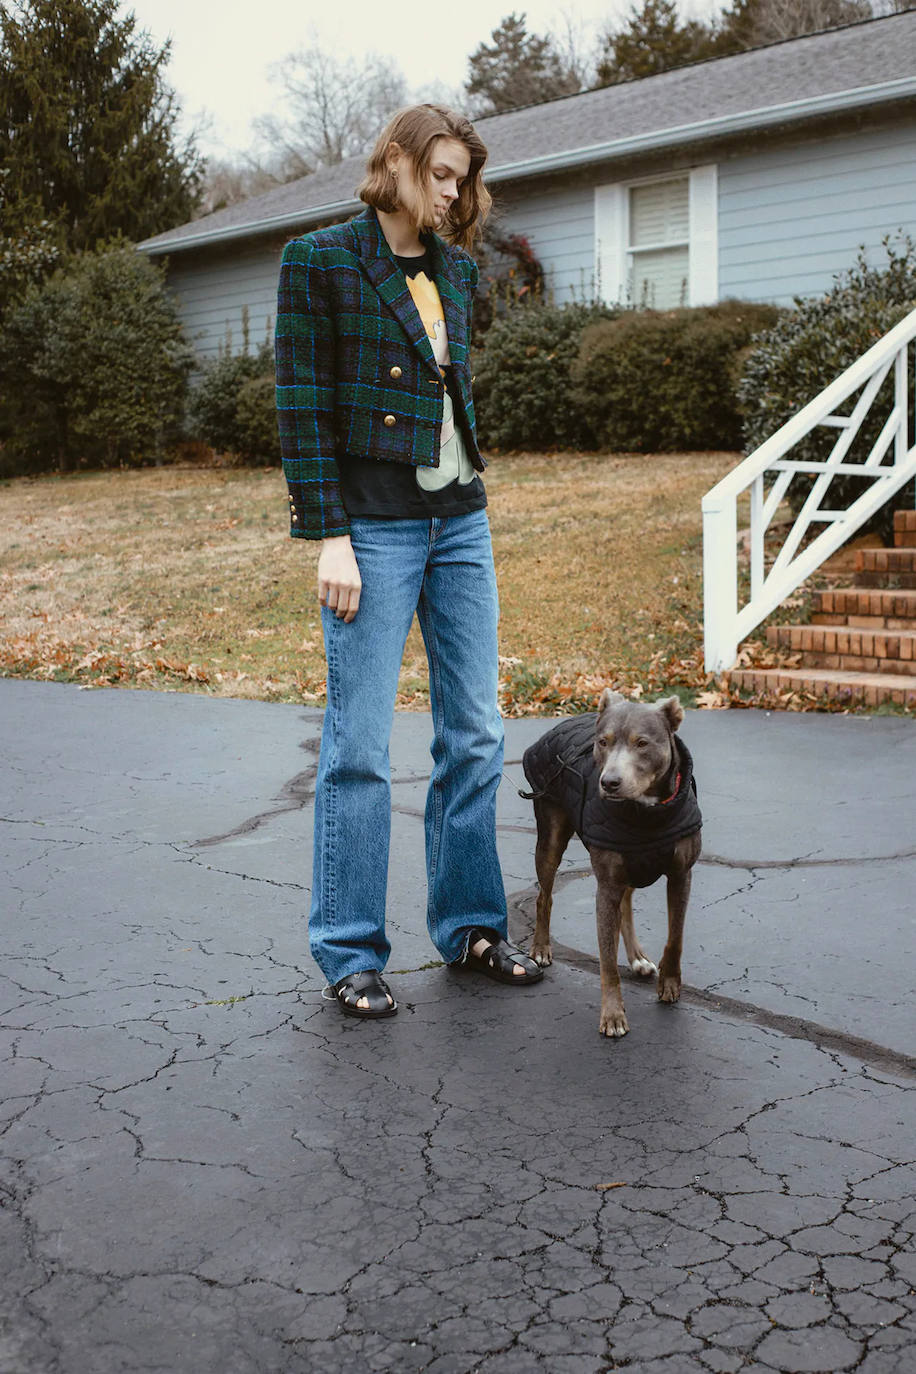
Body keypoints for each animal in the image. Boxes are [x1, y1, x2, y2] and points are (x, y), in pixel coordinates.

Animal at [521, 692, 703, 1033]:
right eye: (602, 742)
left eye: (642, 743)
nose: (609, 782)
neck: (647, 815)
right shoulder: (606, 887)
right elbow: (607, 962)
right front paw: (613, 1015)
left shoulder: (681, 875)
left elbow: (676, 936)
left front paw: (670, 982)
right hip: (551, 835)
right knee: (543, 896)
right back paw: (540, 947)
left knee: (626, 903)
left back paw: (637, 957)